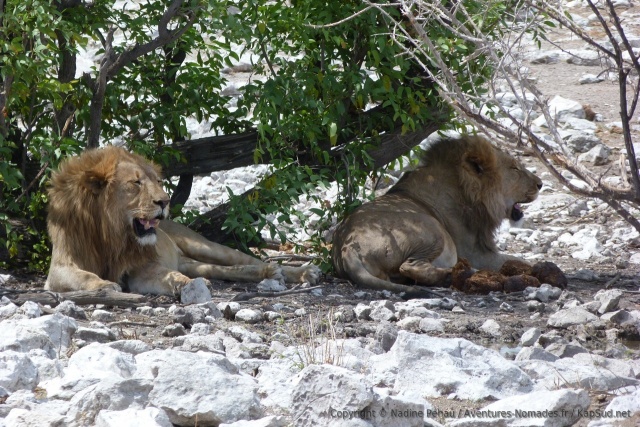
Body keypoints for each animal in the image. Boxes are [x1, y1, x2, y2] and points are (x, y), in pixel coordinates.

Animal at [45, 146, 320, 295]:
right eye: (136, 183)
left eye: (157, 181)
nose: (165, 201)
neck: (110, 234)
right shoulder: (60, 267)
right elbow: (84, 277)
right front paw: (104, 285)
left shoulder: (140, 267)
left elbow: (169, 276)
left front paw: (191, 286)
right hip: (193, 261)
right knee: (227, 270)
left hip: (204, 246)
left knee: (246, 260)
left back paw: (299, 272)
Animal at [331, 135, 542, 298]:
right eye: (515, 168)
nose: (540, 184)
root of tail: (347, 247)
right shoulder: (475, 253)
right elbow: (521, 261)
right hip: (431, 229)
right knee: (410, 266)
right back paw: (459, 274)